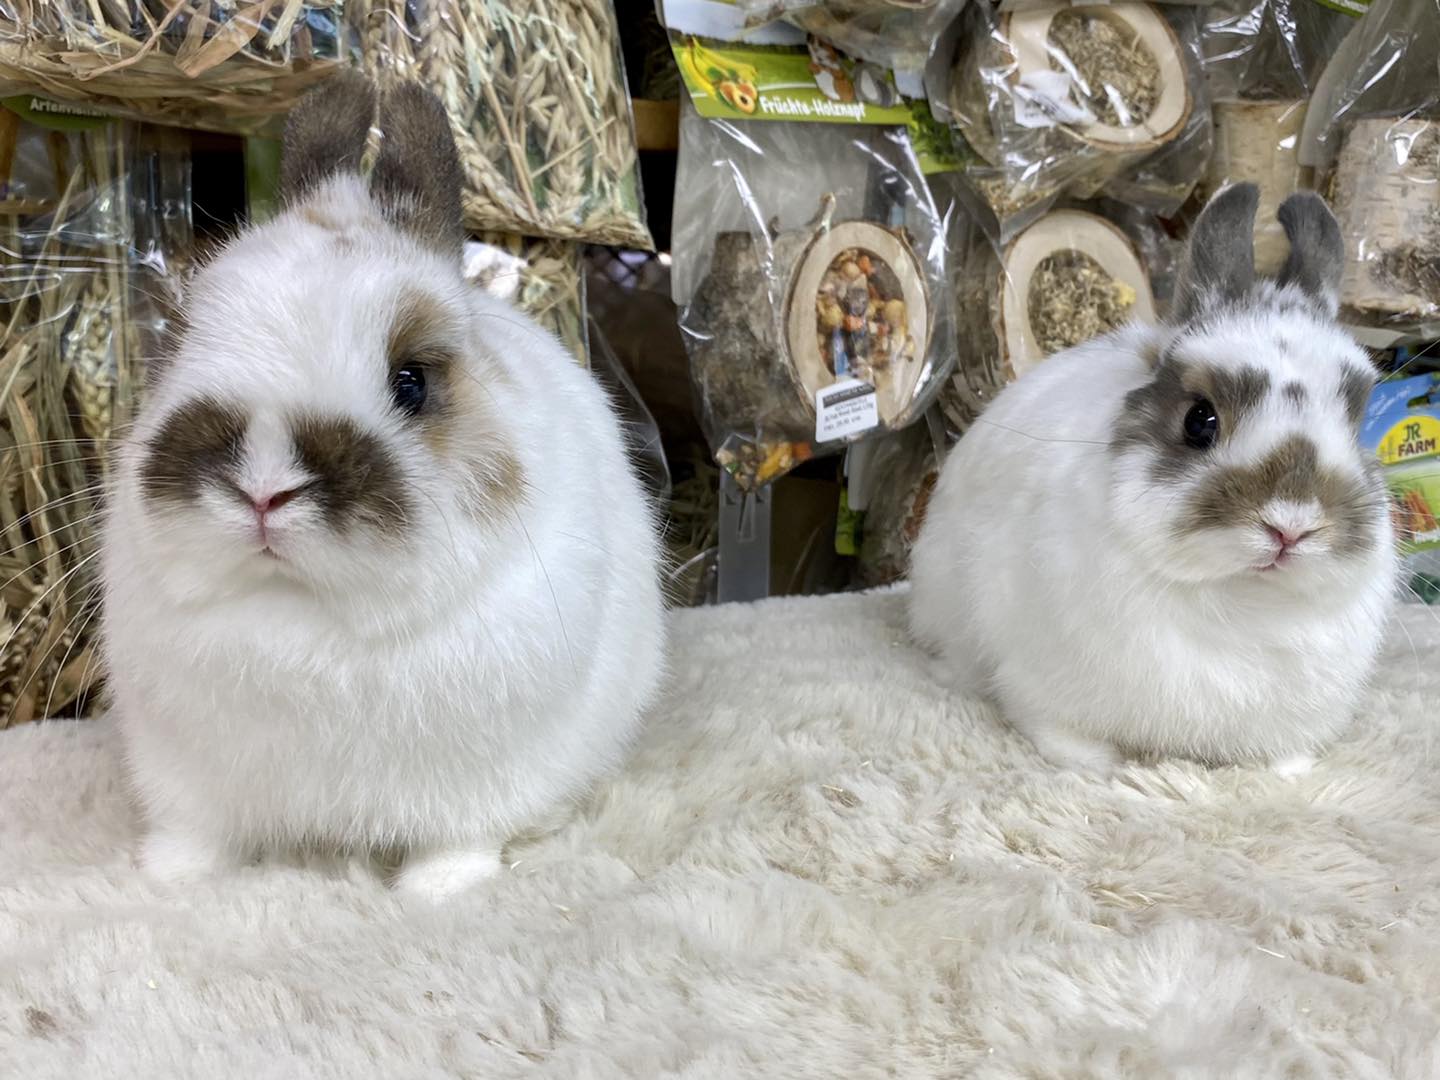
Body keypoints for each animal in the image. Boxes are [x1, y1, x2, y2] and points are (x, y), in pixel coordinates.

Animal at [99, 73, 666, 901]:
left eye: (412, 382)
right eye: (181, 337)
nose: (264, 488)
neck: (304, 618)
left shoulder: (481, 778)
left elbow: (459, 836)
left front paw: (436, 892)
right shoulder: (184, 774)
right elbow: (196, 833)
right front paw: (168, 877)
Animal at [909, 183, 1398, 776]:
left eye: (1356, 422)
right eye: (1199, 420)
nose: (1291, 526)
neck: (1240, 597)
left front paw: (1293, 771)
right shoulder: (1040, 674)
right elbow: (1053, 727)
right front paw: (1092, 764)